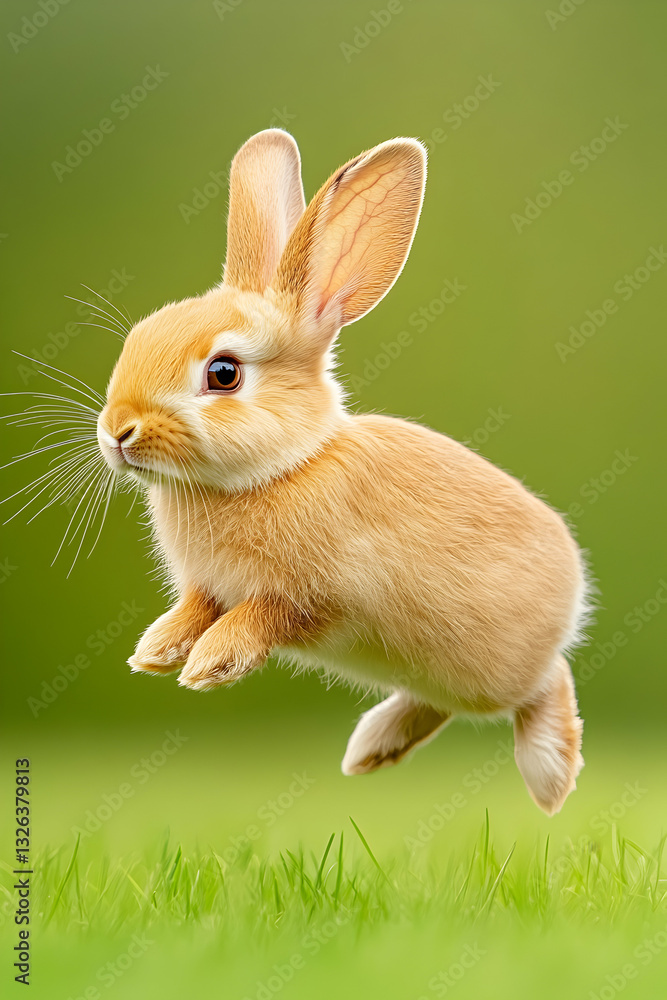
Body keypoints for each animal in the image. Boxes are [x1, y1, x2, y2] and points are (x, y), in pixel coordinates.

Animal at [96, 129, 589, 815]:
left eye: (223, 373)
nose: (118, 431)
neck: (284, 466)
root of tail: (576, 596)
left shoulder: (309, 596)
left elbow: (260, 618)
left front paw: (208, 666)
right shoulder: (209, 587)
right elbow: (195, 609)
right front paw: (157, 653)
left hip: (493, 668)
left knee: (549, 683)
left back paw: (549, 777)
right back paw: (373, 749)